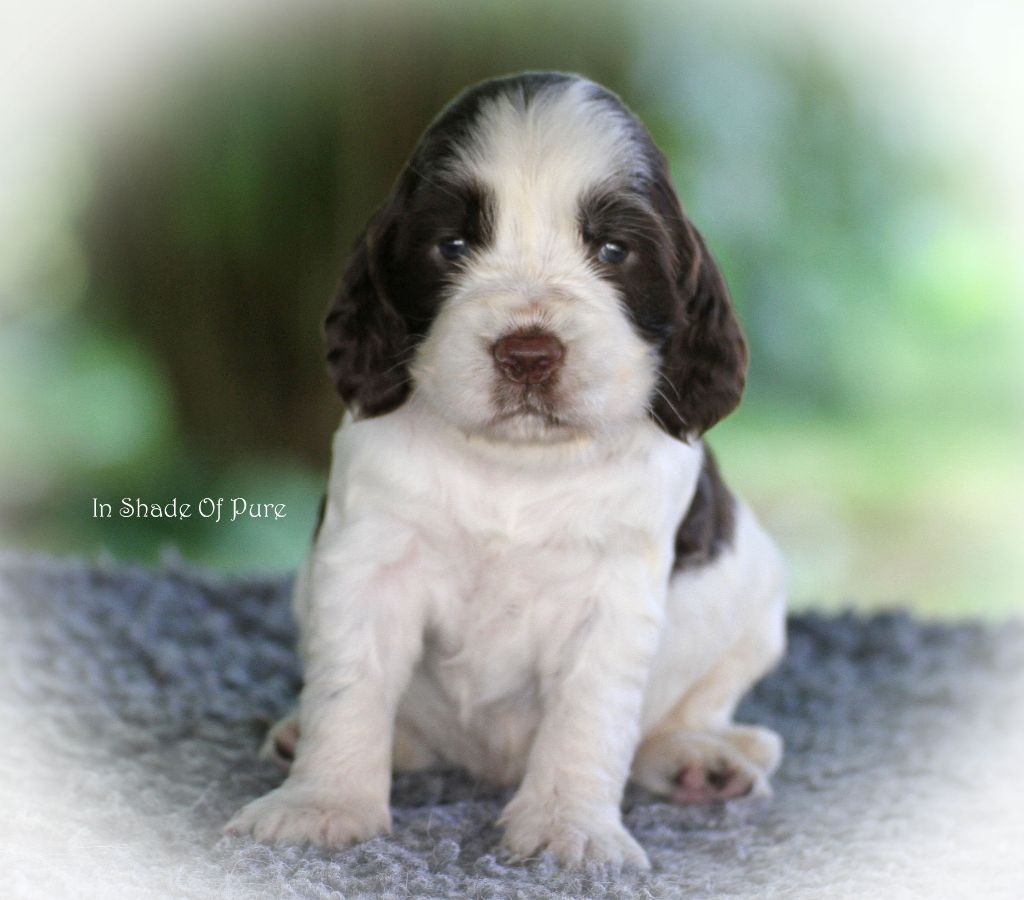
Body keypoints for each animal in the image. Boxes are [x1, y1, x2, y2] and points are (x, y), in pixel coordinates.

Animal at [226, 72, 782, 872]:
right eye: (452, 244)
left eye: (613, 249)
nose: (528, 354)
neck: (516, 464)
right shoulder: (368, 561)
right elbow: (350, 686)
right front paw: (321, 803)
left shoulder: (613, 591)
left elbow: (589, 714)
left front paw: (567, 829)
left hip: (758, 604)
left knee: (683, 710)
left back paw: (699, 759)